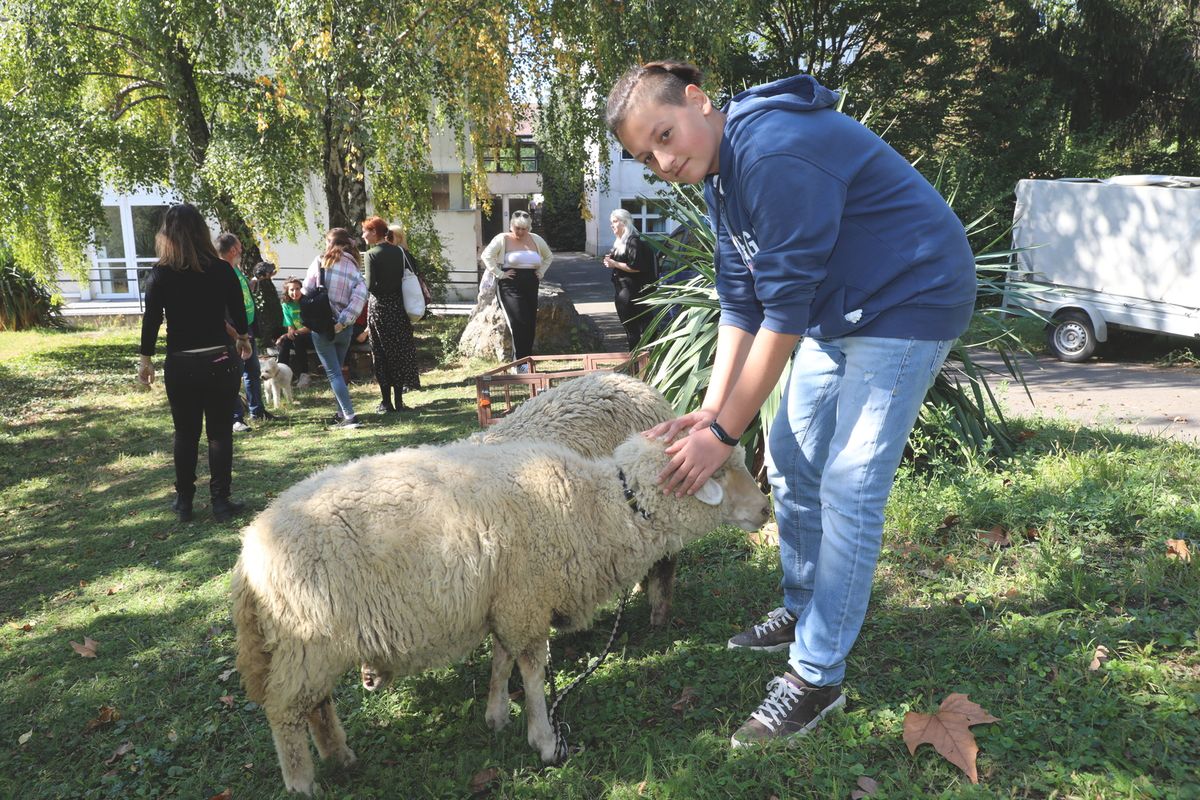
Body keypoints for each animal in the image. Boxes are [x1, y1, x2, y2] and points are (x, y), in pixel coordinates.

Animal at [231, 431, 768, 796]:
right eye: (720, 471)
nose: (765, 509)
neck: (601, 508)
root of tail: (249, 550)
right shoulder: (525, 597)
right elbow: (530, 668)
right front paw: (544, 739)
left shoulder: (508, 598)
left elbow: (501, 658)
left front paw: (495, 715)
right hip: (305, 638)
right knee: (285, 711)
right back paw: (302, 781)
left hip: (316, 644)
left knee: (316, 704)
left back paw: (339, 755)